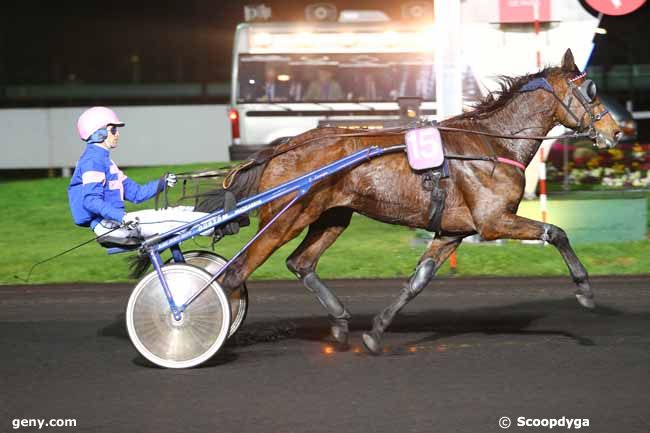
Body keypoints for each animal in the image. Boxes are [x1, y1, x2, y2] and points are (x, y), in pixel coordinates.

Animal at [191, 49, 616, 354]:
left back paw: (341, 323)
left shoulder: (451, 231)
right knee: (236, 272)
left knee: (300, 263)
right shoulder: (493, 221)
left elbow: (418, 281)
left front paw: (376, 332)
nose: (614, 131)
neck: (493, 145)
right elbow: (556, 232)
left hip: (332, 217)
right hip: (285, 218)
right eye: (591, 90)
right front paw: (585, 290)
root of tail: (282, 147)